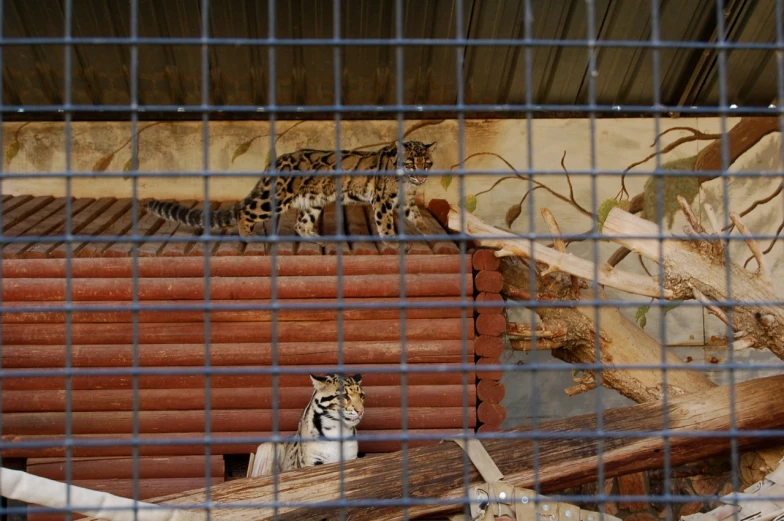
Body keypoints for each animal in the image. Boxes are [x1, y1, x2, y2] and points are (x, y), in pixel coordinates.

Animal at [142, 140, 434, 248]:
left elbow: (419, 217)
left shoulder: (406, 202)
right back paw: (248, 235)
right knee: (246, 212)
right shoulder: (383, 201)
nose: (422, 177)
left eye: (427, 163)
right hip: (274, 200)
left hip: (313, 201)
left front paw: (427, 231)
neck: (408, 184)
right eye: (411, 163)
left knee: (300, 224)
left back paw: (316, 237)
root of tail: (276, 161)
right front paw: (393, 241)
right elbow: (385, 223)